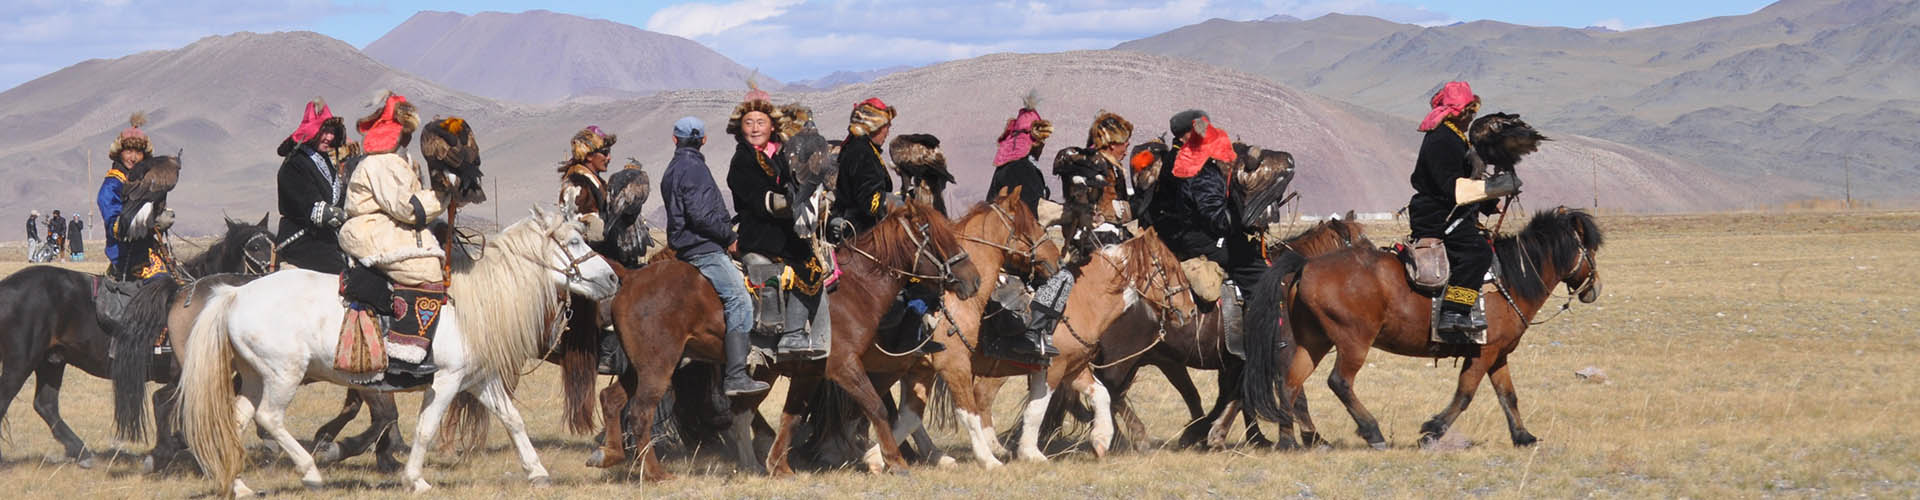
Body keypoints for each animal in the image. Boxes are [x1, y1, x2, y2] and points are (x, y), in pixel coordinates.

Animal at [0, 215, 272, 469]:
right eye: (255, 248)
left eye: (274, 244)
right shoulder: (185, 374)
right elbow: (166, 405)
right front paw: (162, 452)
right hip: (21, 362)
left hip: (52, 360)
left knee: (45, 404)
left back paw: (82, 452)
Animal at [177, 208, 618, 492]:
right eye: (574, 240)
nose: (613, 278)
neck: (473, 304)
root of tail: (234, 295)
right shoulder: (446, 380)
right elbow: (425, 428)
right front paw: (415, 479)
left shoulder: (480, 379)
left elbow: (513, 421)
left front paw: (537, 472)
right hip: (283, 374)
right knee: (269, 418)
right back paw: (311, 472)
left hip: (255, 376)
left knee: (234, 421)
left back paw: (238, 484)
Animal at [587, 199, 983, 480]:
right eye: (935, 235)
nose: (973, 279)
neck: (854, 288)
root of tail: (631, 277)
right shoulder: (844, 366)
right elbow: (875, 406)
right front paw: (895, 462)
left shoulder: (809, 372)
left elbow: (792, 417)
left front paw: (780, 466)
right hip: (659, 367)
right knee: (641, 411)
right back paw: (654, 473)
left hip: (640, 366)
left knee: (612, 399)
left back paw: (609, 454)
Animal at [1251, 207, 1612, 450]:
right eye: (1590, 248)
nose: (1594, 288)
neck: (1511, 279)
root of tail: (1306, 265)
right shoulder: (1483, 352)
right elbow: (1465, 393)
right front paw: (1432, 429)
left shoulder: (1498, 354)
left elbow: (1508, 396)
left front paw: (1524, 437)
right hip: (1353, 341)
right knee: (1338, 382)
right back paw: (1372, 432)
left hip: (1314, 341)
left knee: (1290, 384)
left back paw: (1290, 440)